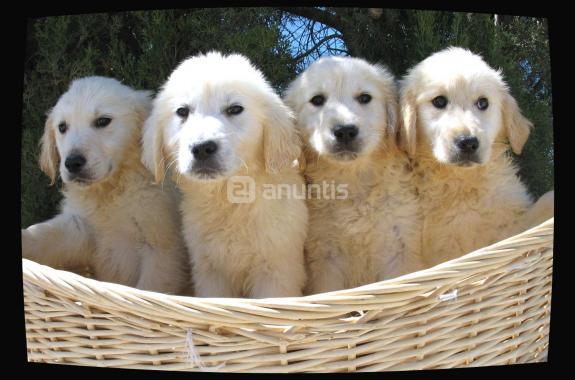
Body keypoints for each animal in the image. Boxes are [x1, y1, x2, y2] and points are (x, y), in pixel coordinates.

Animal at [21, 75, 188, 292]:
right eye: (62, 127)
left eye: (102, 121)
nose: (72, 163)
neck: (112, 189)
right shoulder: (80, 227)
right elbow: (45, 235)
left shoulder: (162, 250)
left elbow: (148, 287)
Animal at [142, 52, 308, 298]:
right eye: (182, 111)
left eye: (235, 109)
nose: (202, 148)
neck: (228, 197)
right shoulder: (211, 272)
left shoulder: (276, 270)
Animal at [286, 56, 426, 294]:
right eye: (317, 100)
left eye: (364, 98)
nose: (344, 131)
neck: (354, 180)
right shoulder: (326, 257)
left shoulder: (399, 247)